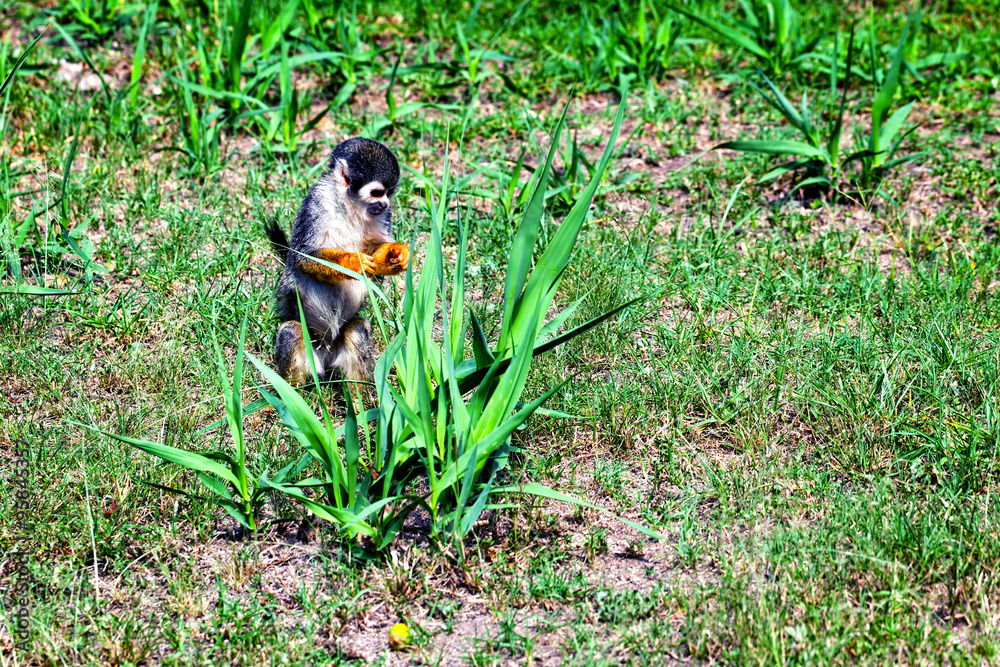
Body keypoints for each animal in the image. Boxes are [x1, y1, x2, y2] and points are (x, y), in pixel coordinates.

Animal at [265, 137, 410, 393]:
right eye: (377, 193)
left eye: (390, 193)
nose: (384, 204)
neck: (349, 205)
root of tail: (325, 351)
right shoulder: (316, 201)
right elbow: (305, 257)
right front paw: (355, 262)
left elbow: (377, 255)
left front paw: (396, 254)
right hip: (310, 345)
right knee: (291, 331)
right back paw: (290, 396)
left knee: (356, 330)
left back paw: (361, 397)